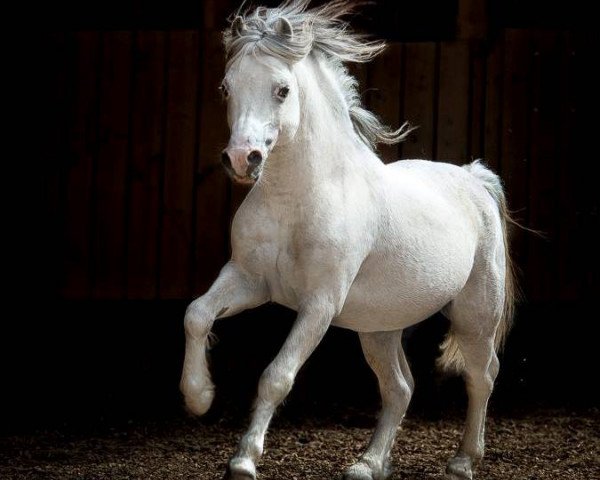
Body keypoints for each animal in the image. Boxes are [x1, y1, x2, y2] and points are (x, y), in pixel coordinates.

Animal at [180, 1, 516, 478]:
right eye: (227, 88)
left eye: (282, 90)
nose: (243, 159)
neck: (295, 199)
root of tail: (474, 178)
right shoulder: (249, 281)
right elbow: (196, 314)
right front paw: (199, 397)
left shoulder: (320, 302)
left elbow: (277, 375)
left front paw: (244, 460)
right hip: (379, 327)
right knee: (400, 388)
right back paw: (369, 464)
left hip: (476, 313)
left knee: (481, 375)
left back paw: (462, 461)